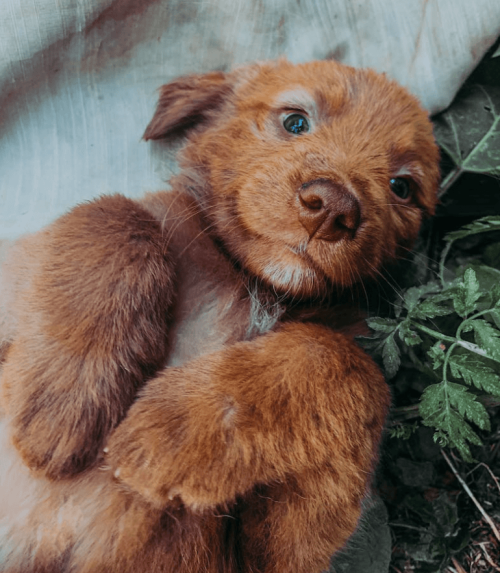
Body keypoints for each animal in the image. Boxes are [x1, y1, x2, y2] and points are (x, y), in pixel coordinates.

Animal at [0, 59, 438, 572]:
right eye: (296, 121)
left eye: (402, 187)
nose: (332, 207)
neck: (251, 282)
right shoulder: (16, 272)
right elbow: (115, 213)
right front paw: (63, 406)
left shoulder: (273, 555)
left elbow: (348, 364)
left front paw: (174, 429)